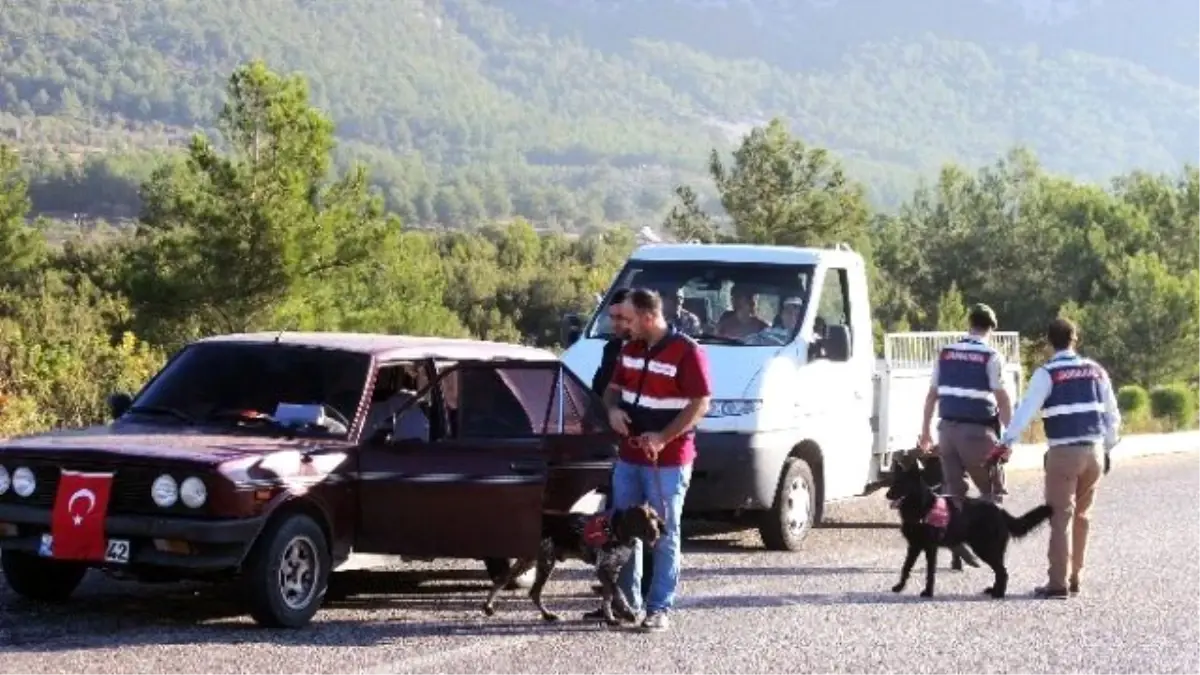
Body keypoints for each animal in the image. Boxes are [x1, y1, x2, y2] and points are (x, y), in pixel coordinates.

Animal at [480, 502, 667, 624]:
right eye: (647, 519)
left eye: (656, 518)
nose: (658, 532)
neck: (615, 530)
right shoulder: (603, 569)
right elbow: (618, 593)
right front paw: (627, 613)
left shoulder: (611, 570)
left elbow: (608, 597)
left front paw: (610, 618)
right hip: (545, 561)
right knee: (531, 591)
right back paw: (546, 615)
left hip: (531, 561)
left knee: (505, 580)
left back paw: (490, 606)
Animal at [883, 454, 1051, 595]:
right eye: (893, 483)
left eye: (902, 484)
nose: (887, 495)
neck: (921, 506)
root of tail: (1000, 511)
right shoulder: (914, 546)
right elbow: (905, 567)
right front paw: (900, 587)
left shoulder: (930, 548)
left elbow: (930, 572)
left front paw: (928, 592)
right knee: (1000, 571)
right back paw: (994, 590)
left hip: (984, 548)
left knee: (1003, 572)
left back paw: (999, 593)